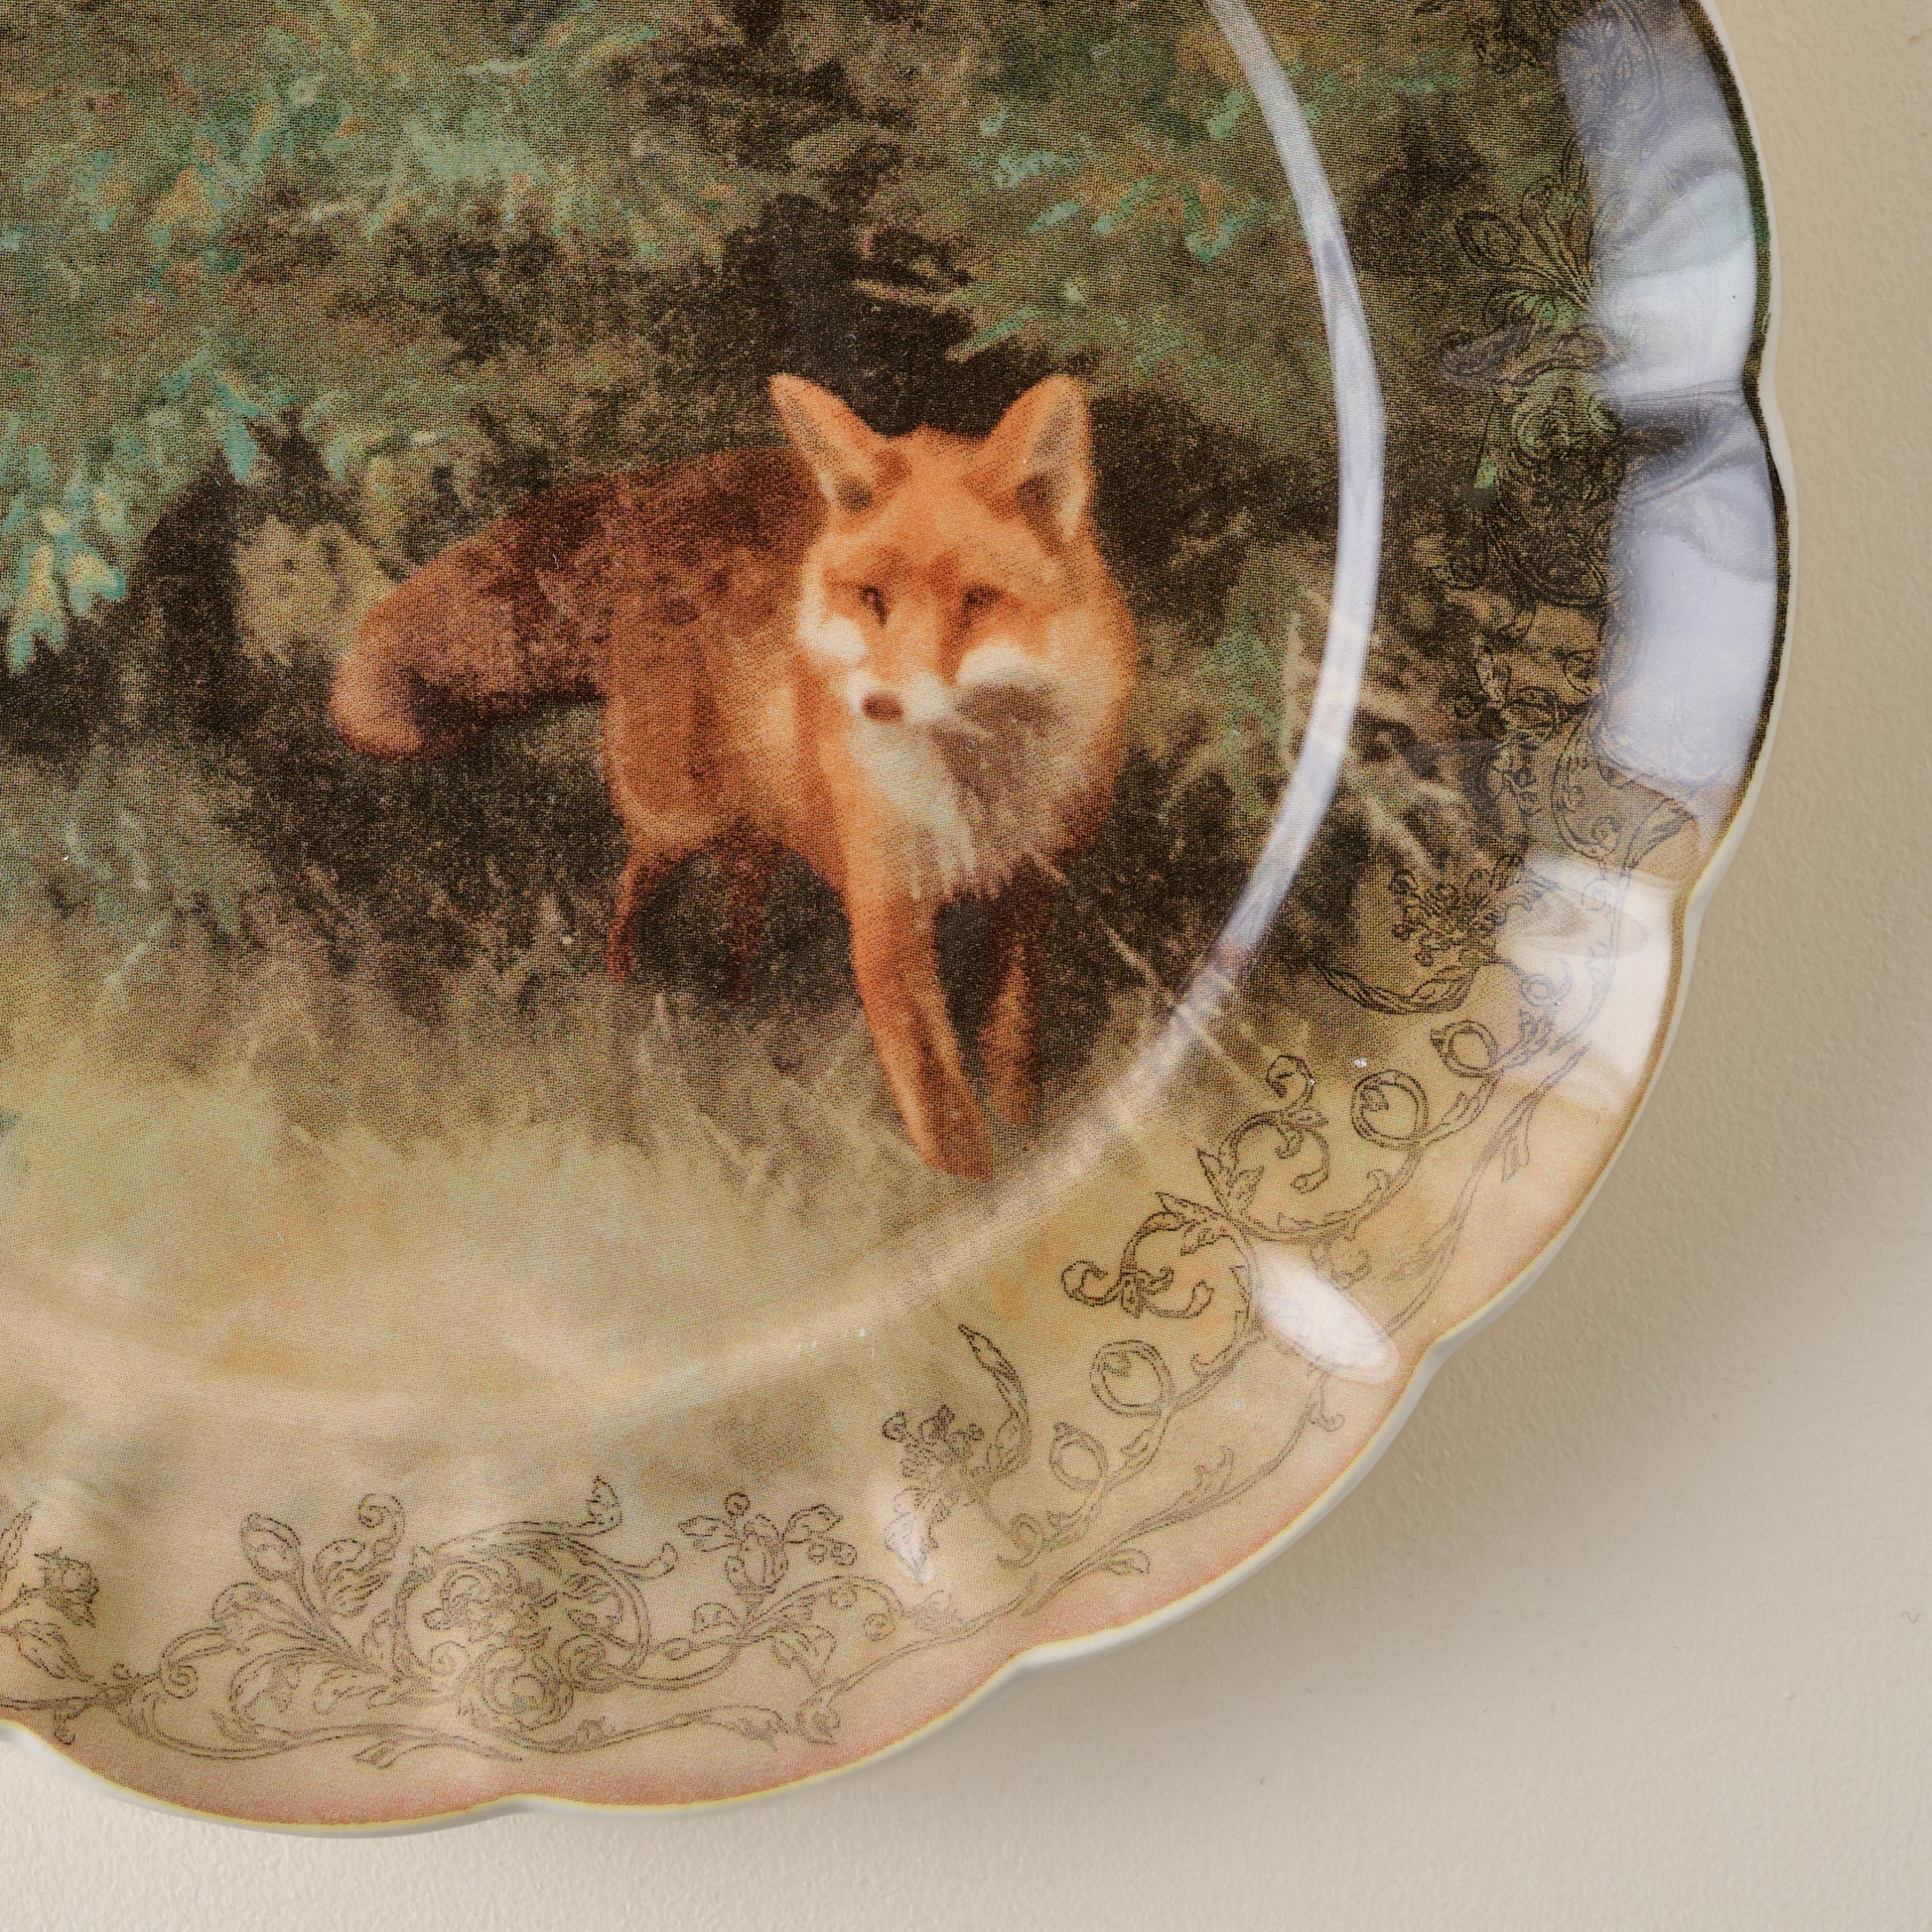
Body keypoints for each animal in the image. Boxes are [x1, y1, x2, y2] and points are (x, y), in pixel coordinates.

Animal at [328, 374, 1139, 1179]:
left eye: (977, 602)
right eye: (871, 598)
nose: (878, 705)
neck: (978, 791)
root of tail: (662, 498)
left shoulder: (1028, 896)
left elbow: (1010, 1062)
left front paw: (1028, 1142)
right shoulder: (885, 920)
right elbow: (944, 1112)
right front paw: (969, 1190)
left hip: (757, 837)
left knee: (736, 931)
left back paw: (735, 1018)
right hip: (678, 820)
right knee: (629, 904)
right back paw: (626, 1004)